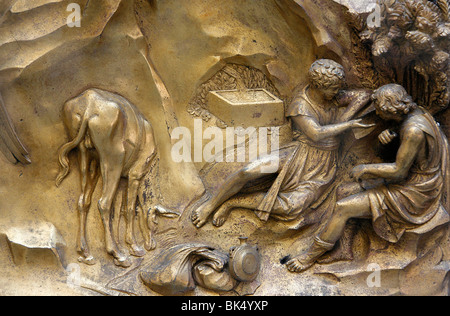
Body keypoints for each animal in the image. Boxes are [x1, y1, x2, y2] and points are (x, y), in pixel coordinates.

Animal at [56, 88, 156, 266]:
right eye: (154, 221)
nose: (152, 244)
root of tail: (90, 103)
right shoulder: (135, 175)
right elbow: (129, 209)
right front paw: (133, 247)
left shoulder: (121, 179)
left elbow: (116, 213)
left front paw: (123, 247)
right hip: (113, 160)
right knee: (103, 203)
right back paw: (117, 254)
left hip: (86, 157)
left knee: (83, 201)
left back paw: (86, 253)